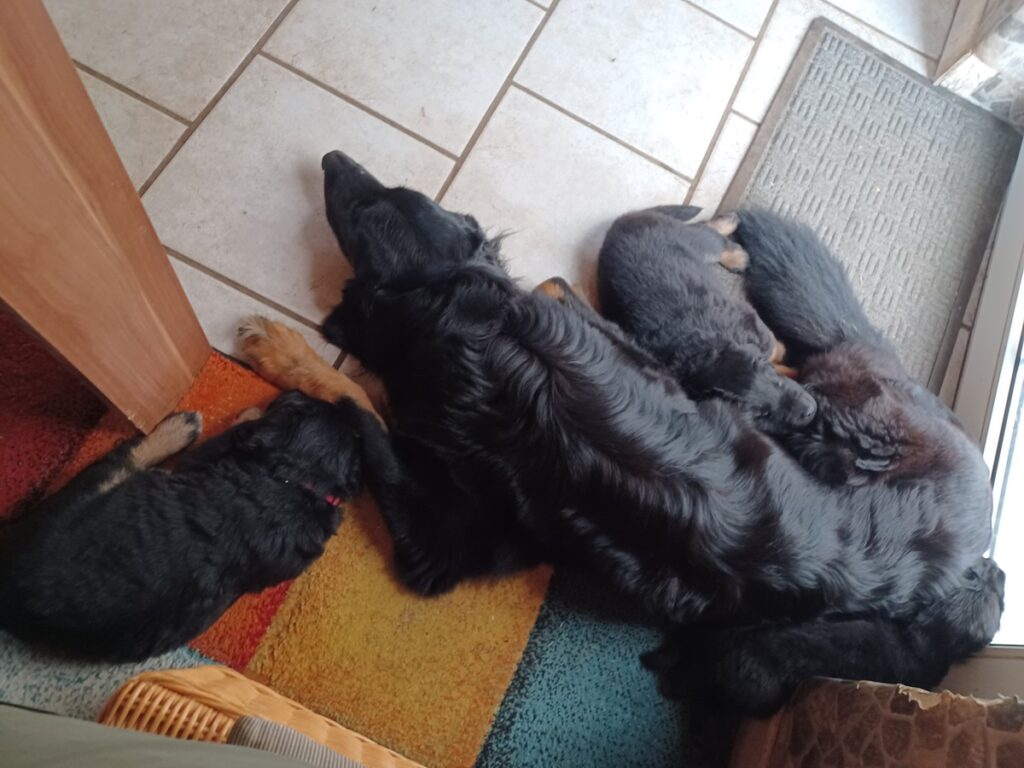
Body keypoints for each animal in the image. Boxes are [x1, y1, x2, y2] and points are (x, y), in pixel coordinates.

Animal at [0, 384, 388, 661]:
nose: (289, 391)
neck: (300, 481)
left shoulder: (210, 455)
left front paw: (246, 412)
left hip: (84, 495)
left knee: (128, 456)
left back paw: (179, 427)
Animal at [597, 205, 817, 433]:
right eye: (762, 414)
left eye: (777, 384)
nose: (810, 410)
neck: (704, 351)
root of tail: (622, 220)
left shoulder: (754, 327)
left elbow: (773, 349)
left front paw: (786, 356)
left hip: (697, 243)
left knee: (706, 230)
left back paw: (734, 241)